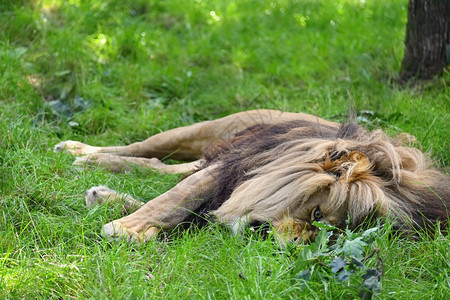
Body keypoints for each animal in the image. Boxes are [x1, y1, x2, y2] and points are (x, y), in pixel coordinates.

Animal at [55, 109, 450, 244]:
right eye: (317, 213)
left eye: (329, 236)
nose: (286, 244)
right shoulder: (239, 165)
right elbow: (175, 198)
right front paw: (126, 229)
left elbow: (183, 204)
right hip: (210, 128)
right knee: (143, 147)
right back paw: (80, 153)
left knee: (156, 166)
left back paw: (99, 182)